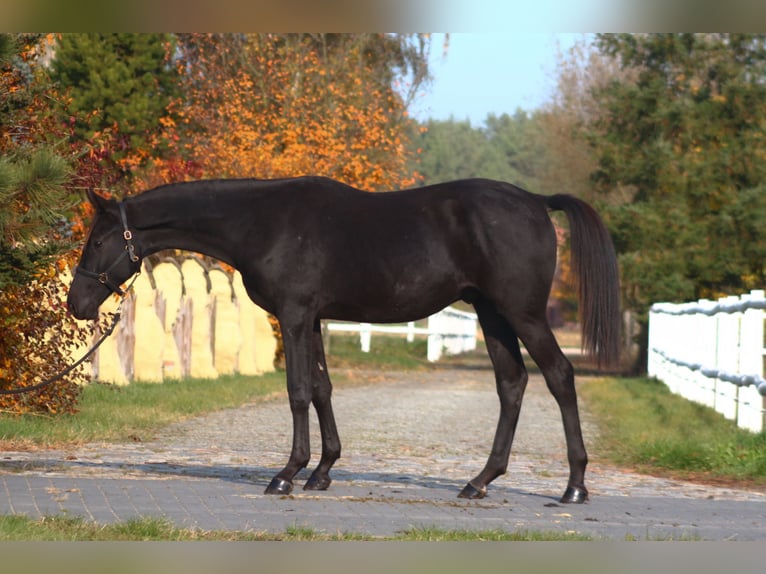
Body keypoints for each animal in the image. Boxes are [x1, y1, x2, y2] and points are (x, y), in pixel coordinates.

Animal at [69, 177, 620, 504]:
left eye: (97, 240)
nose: (76, 303)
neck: (262, 221)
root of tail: (536, 202)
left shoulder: (293, 316)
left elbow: (296, 392)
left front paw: (287, 473)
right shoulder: (313, 319)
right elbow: (321, 390)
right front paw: (322, 470)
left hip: (521, 314)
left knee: (559, 376)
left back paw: (574, 486)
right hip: (491, 313)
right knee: (512, 383)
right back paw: (479, 481)